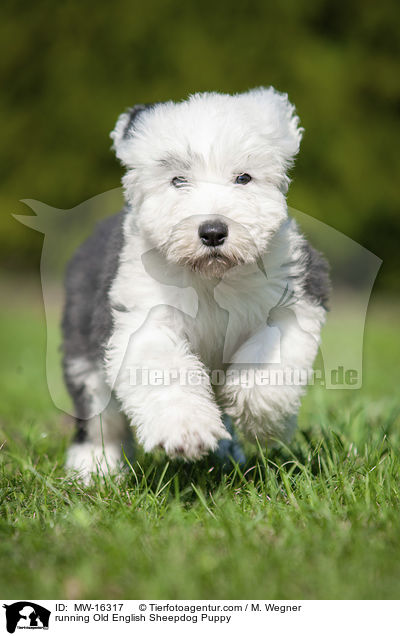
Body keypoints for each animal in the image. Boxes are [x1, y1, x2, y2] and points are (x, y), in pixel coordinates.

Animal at [62, 87, 330, 480]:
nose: (213, 231)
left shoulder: (297, 294)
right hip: (83, 350)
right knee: (99, 417)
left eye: (244, 178)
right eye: (178, 180)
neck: (211, 279)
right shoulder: (141, 313)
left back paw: (228, 452)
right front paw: (186, 432)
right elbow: (163, 367)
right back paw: (95, 468)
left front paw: (259, 417)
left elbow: (271, 358)